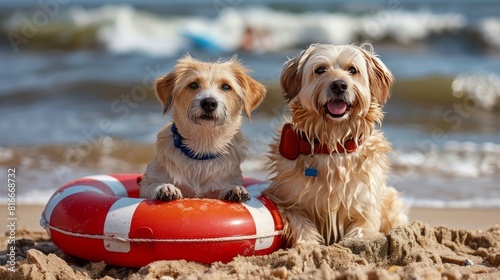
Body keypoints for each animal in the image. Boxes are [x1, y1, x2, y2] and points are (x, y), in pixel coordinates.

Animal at [141, 56, 266, 201]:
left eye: (226, 86)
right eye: (193, 84)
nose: (209, 103)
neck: (202, 148)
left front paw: (234, 189)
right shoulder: (147, 181)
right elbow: (151, 185)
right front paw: (165, 187)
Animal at [262, 43, 406, 245]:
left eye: (352, 70)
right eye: (320, 69)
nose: (339, 85)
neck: (333, 144)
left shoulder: (366, 204)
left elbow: (363, 228)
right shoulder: (284, 199)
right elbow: (300, 222)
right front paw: (308, 244)